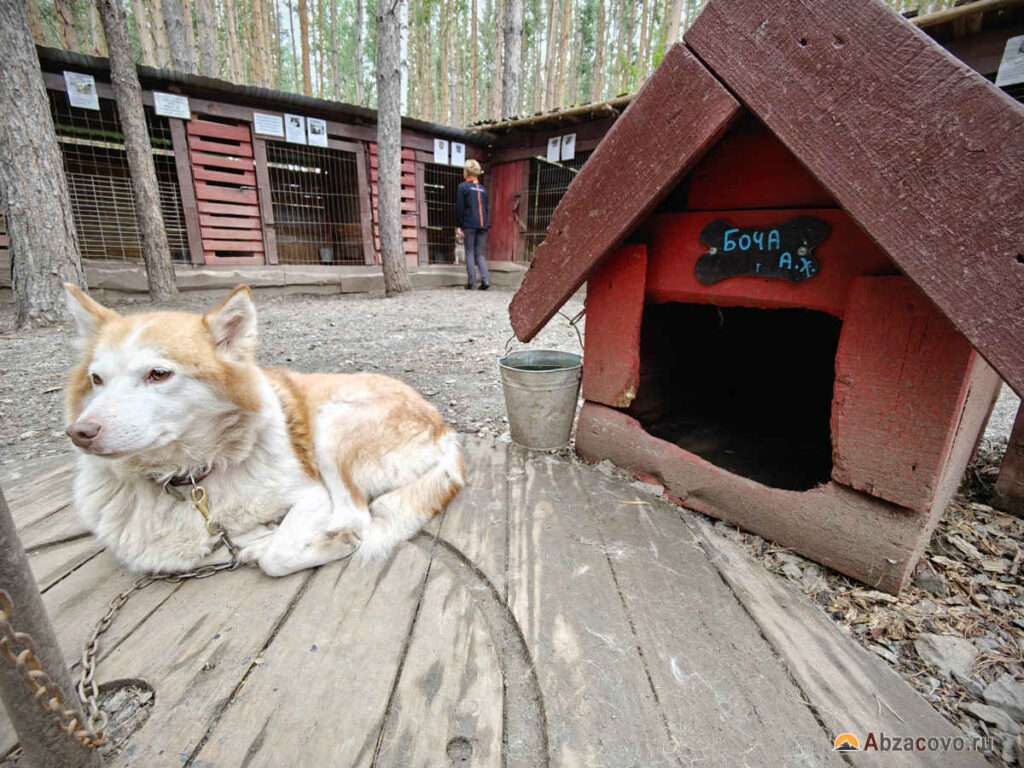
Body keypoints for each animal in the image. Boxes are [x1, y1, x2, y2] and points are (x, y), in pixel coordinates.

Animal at [62, 286, 464, 577]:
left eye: (158, 374)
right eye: (97, 379)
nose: (80, 432)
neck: (191, 477)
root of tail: (444, 428)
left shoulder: (312, 495)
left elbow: (277, 556)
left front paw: (313, 544)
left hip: (332, 427)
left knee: (355, 517)